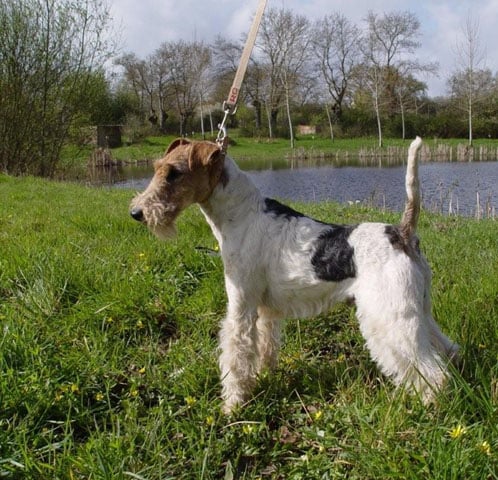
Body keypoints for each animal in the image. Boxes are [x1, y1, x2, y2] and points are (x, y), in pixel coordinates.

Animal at [129, 137, 460, 414]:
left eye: (174, 173)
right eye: (157, 167)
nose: (137, 213)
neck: (241, 214)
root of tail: (402, 232)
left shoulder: (241, 304)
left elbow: (235, 354)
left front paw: (233, 405)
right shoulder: (265, 309)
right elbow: (264, 346)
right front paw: (262, 376)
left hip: (391, 316)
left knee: (431, 369)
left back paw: (429, 404)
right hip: (417, 307)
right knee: (446, 348)